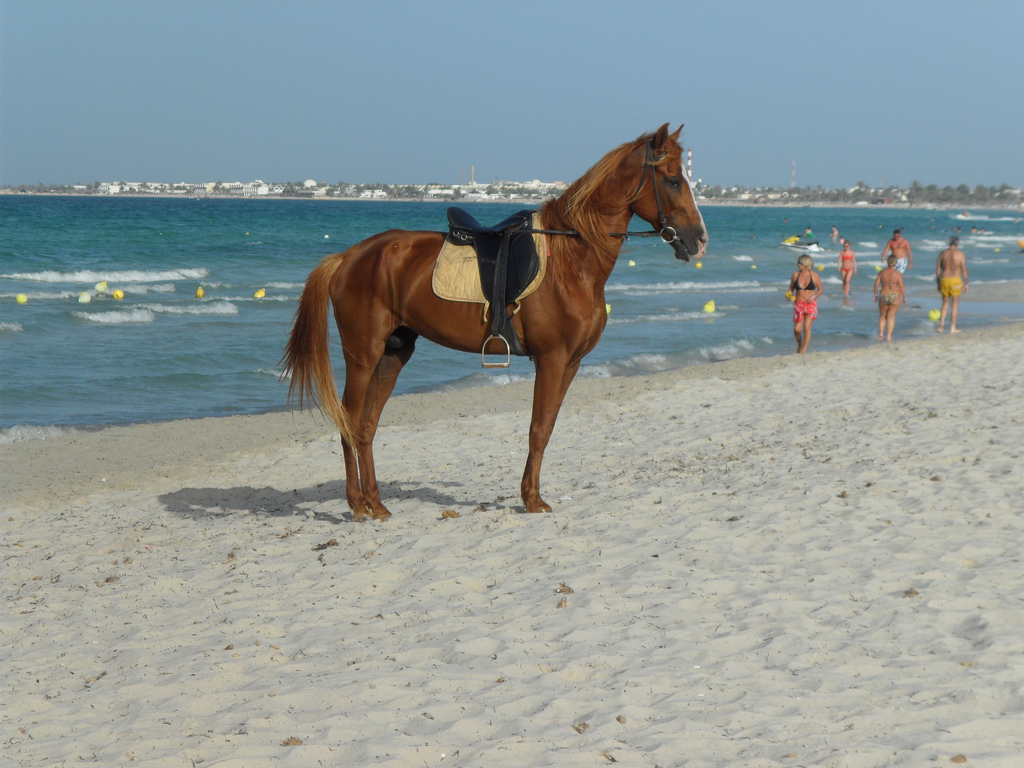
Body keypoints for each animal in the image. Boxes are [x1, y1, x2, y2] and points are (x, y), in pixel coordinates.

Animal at [284, 124, 708, 524]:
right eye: (673, 180)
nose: (699, 239)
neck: (571, 259)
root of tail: (347, 257)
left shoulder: (571, 363)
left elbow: (547, 428)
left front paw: (531, 495)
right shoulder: (552, 359)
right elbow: (538, 429)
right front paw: (532, 500)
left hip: (393, 353)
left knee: (366, 426)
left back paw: (376, 504)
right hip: (364, 354)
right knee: (349, 421)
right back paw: (357, 505)